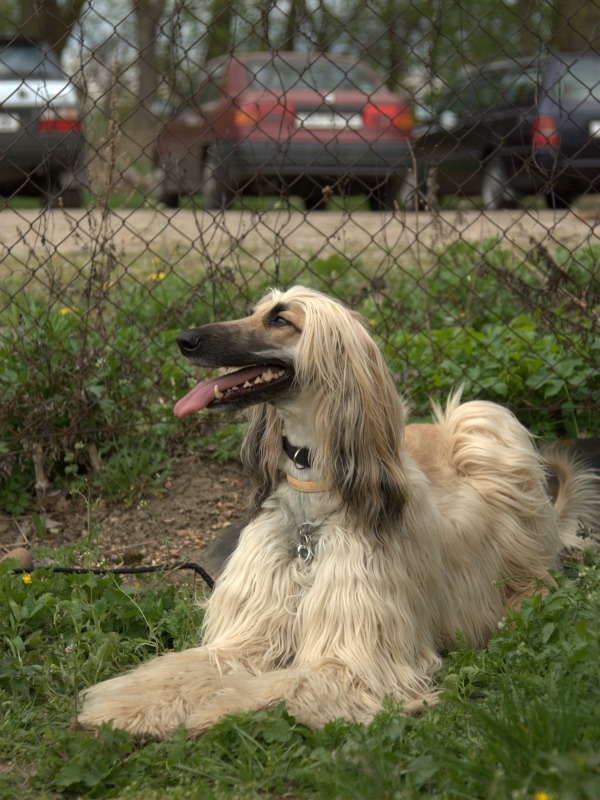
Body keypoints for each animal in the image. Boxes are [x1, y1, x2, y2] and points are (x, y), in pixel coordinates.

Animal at [77, 286, 596, 736]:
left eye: (281, 319)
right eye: (253, 312)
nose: (184, 340)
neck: (311, 509)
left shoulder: (357, 659)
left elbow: (281, 686)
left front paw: (212, 711)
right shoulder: (248, 636)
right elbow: (182, 668)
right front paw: (125, 707)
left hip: (489, 428)